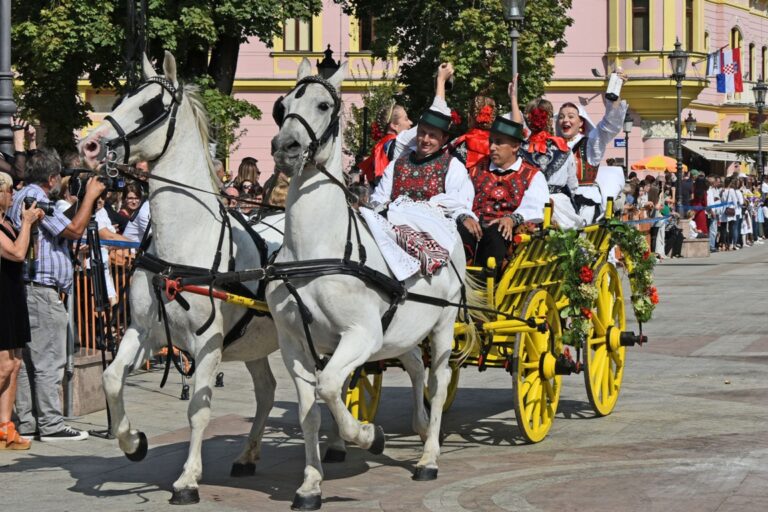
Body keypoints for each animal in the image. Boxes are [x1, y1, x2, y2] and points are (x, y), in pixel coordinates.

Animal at [79, 53, 284, 504]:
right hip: (258, 341)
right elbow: (111, 378)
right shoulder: (144, 331)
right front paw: (132, 442)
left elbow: (198, 409)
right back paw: (248, 455)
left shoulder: (207, 343)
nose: (89, 145)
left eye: (150, 105)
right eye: (120, 97)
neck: (183, 245)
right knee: (267, 391)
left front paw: (188, 478)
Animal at [268, 59, 476, 508]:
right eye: (283, 105)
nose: (285, 147)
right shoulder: (293, 344)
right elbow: (309, 410)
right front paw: (311, 484)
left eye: (324, 104)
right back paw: (419, 426)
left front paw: (367, 434)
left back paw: (428, 456)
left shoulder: (361, 335)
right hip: (403, 330)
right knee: (415, 365)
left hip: (443, 326)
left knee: (438, 381)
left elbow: (330, 387)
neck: (316, 251)